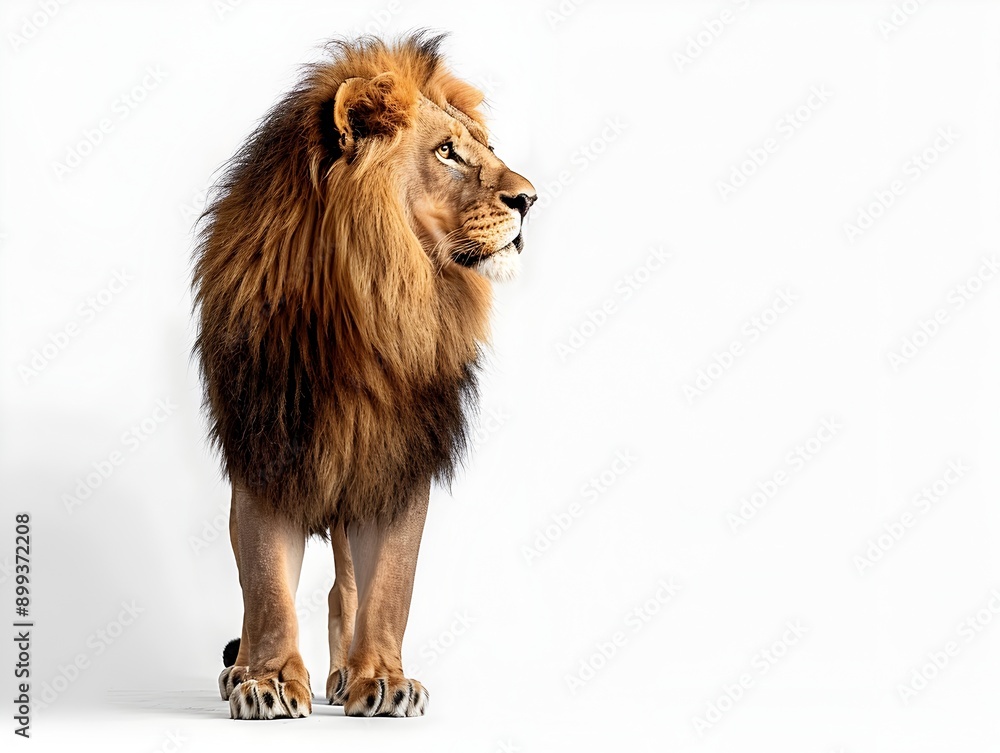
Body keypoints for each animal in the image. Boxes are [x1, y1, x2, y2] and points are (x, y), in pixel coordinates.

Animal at [192, 33, 535, 720]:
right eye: (446, 152)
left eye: (486, 148)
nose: (531, 199)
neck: (374, 304)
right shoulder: (267, 452)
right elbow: (267, 585)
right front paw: (269, 682)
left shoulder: (398, 462)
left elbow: (391, 587)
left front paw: (383, 678)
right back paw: (241, 670)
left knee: (343, 590)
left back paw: (344, 674)